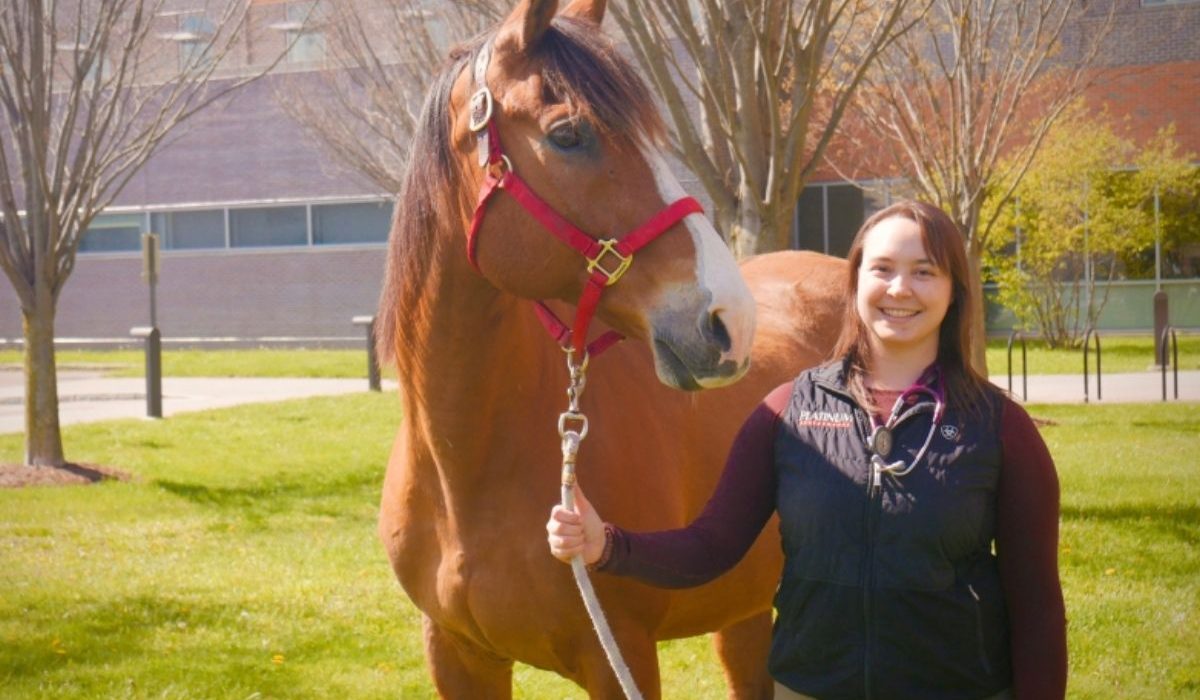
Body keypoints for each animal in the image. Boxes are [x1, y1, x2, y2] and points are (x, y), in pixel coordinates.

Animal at [374, 0, 847, 697]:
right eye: (569, 134)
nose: (730, 321)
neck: (465, 468)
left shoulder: (619, 653)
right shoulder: (456, 655)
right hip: (745, 615)